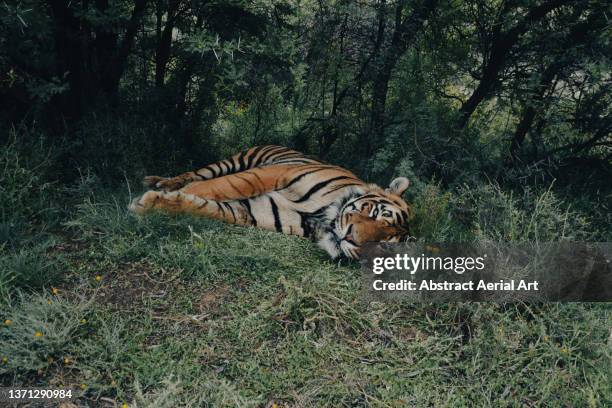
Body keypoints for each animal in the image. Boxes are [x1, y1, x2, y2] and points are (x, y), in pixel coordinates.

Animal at [131, 146, 414, 258]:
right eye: (374, 212)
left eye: (380, 246)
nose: (351, 239)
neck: (321, 217)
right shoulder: (275, 173)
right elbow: (216, 187)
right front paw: (144, 202)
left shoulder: (255, 211)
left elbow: (207, 208)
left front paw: (156, 204)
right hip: (234, 162)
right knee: (196, 174)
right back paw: (157, 181)